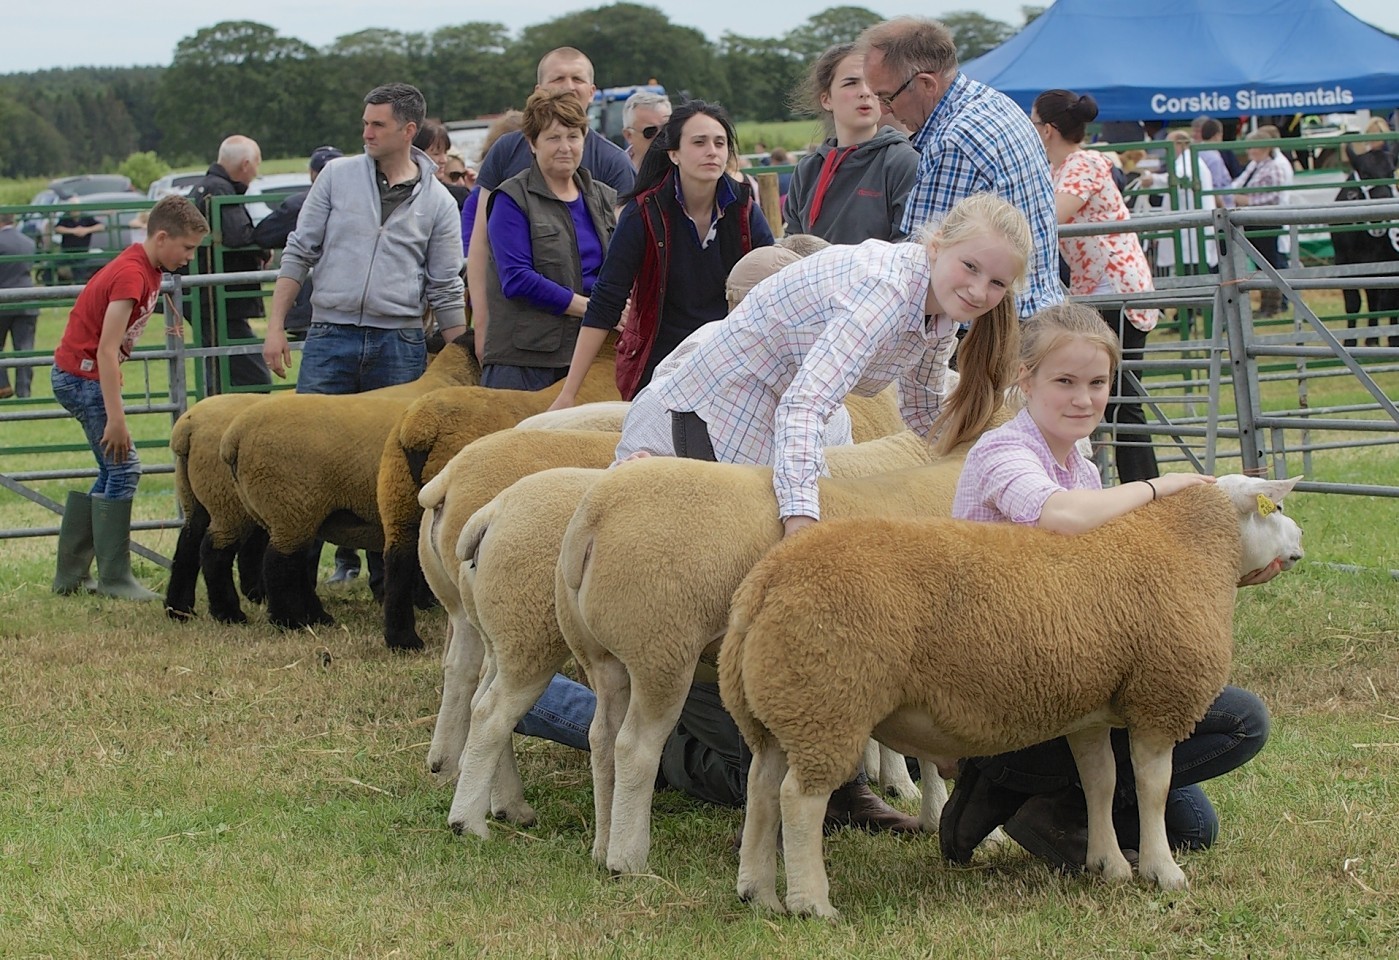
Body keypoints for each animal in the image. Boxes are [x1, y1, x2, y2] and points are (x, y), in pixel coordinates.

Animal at [215, 342, 481, 635]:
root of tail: (233, 437)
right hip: (289, 505)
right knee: (275, 563)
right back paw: (285, 621)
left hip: (276, 510)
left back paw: (308, 616)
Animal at [551, 431, 1001, 878]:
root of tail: (593, 517)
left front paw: (933, 813)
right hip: (661, 650)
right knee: (635, 748)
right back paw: (628, 860)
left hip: (604, 658)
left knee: (603, 739)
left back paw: (602, 845)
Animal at [727, 478, 1303, 923]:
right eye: (1278, 509)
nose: (1300, 540)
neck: (1192, 545)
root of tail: (768, 578)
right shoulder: (1161, 698)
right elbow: (1152, 789)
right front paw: (1163, 871)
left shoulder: (1088, 711)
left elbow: (1100, 782)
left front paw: (1107, 865)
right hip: (828, 698)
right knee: (799, 801)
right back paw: (811, 904)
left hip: (781, 705)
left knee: (761, 789)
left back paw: (758, 894)